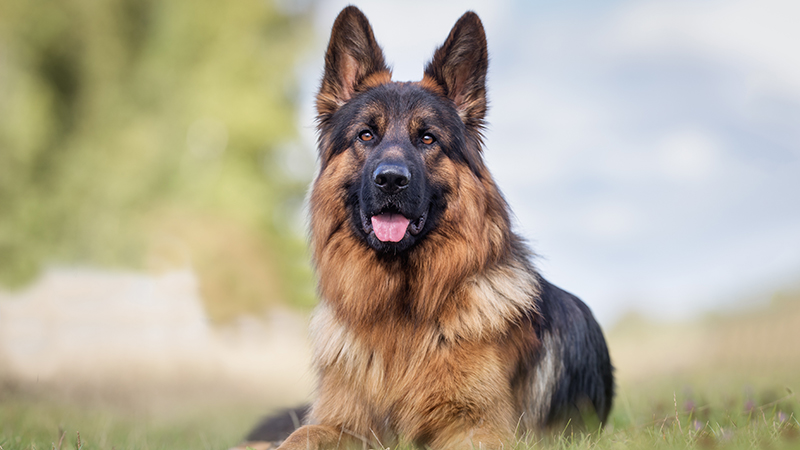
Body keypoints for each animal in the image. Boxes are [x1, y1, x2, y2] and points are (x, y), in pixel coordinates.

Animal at [238, 6, 612, 450]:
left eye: (428, 138)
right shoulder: (341, 422)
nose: (390, 180)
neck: (400, 315)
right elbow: (299, 435)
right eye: (367, 134)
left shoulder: (479, 427)